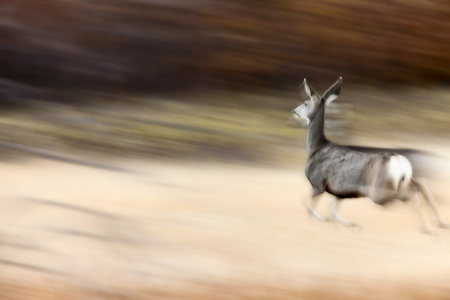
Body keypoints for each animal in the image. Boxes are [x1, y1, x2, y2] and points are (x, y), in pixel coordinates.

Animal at [294, 77, 448, 232]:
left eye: (306, 103)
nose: (294, 111)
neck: (316, 148)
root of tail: (399, 160)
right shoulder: (340, 192)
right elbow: (332, 211)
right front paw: (347, 224)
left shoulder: (318, 184)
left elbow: (306, 204)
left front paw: (322, 220)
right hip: (402, 181)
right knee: (420, 187)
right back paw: (438, 224)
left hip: (379, 189)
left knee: (412, 195)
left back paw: (428, 228)